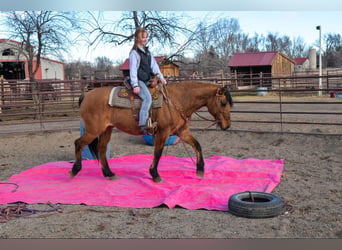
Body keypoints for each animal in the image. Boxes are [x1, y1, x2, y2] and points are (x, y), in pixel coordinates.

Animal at [71, 81, 234, 183]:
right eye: (223, 103)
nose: (227, 125)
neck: (176, 101)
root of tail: (86, 95)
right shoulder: (163, 132)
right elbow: (158, 153)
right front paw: (155, 174)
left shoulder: (182, 132)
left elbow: (197, 146)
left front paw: (200, 170)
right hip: (93, 130)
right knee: (78, 143)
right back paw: (74, 170)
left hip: (106, 129)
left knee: (101, 149)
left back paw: (109, 174)